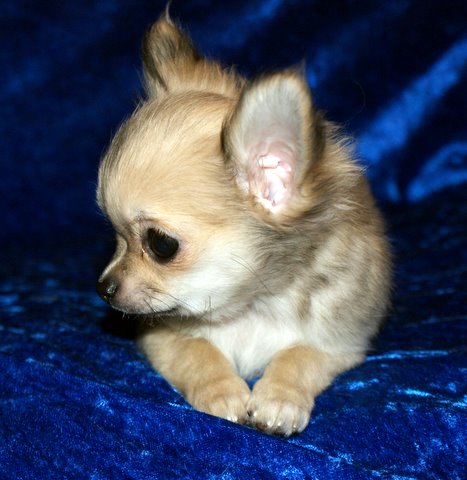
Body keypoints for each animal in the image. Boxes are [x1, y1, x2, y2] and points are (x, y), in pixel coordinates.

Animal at [96, 12, 392, 436]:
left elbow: (299, 356)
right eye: (115, 236)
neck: (254, 305)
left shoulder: (340, 342)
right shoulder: (159, 336)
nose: (103, 287)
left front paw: (280, 399)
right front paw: (223, 393)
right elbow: (198, 351)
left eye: (161, 245)